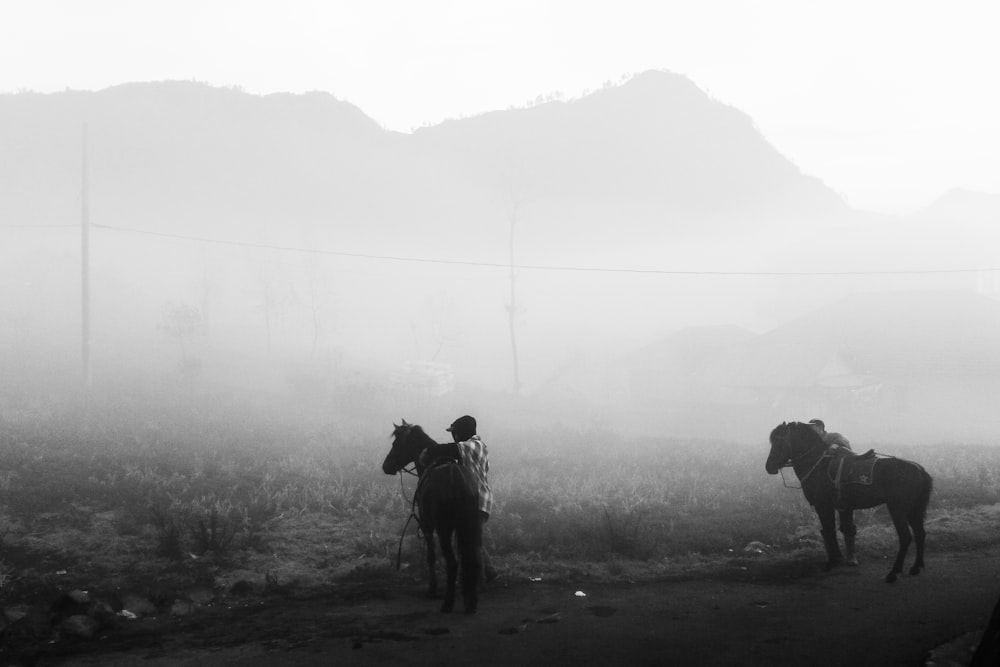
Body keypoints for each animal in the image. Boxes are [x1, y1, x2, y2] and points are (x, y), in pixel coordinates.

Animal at [380, 420, 482, 612]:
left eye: (396, 444)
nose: (386, 466)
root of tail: (456, 480)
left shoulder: (427, 524)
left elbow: (431, 555)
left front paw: (432, 588)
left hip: (443, 530)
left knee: (452, 562)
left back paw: (447, 603)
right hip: (468, 527)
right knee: (470, 559)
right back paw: (470, 602)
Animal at [768, 422, 932, 584]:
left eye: (779, 441)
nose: (769, 466)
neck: (818, 464)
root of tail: (919, 469)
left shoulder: (823, 506)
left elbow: (829, 531)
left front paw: (832, 561)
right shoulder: (841, 507)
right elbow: (837, 530)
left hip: (898, 510)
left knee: (905, 537)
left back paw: (893, 572)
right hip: (914, 510)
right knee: (920, 533)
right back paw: (916, 567)